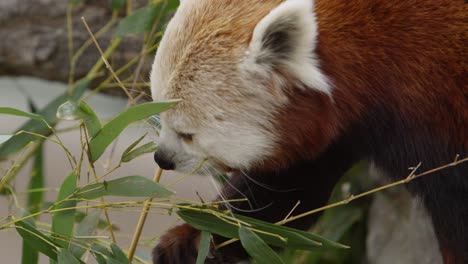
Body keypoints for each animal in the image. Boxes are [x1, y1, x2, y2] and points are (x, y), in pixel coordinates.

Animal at [150, 0, 468, 264]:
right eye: (159, 110)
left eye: (187, 134)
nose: (162, 158)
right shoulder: (338, 124)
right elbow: (288, 190)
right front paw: (194, 239)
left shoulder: (437, 111)